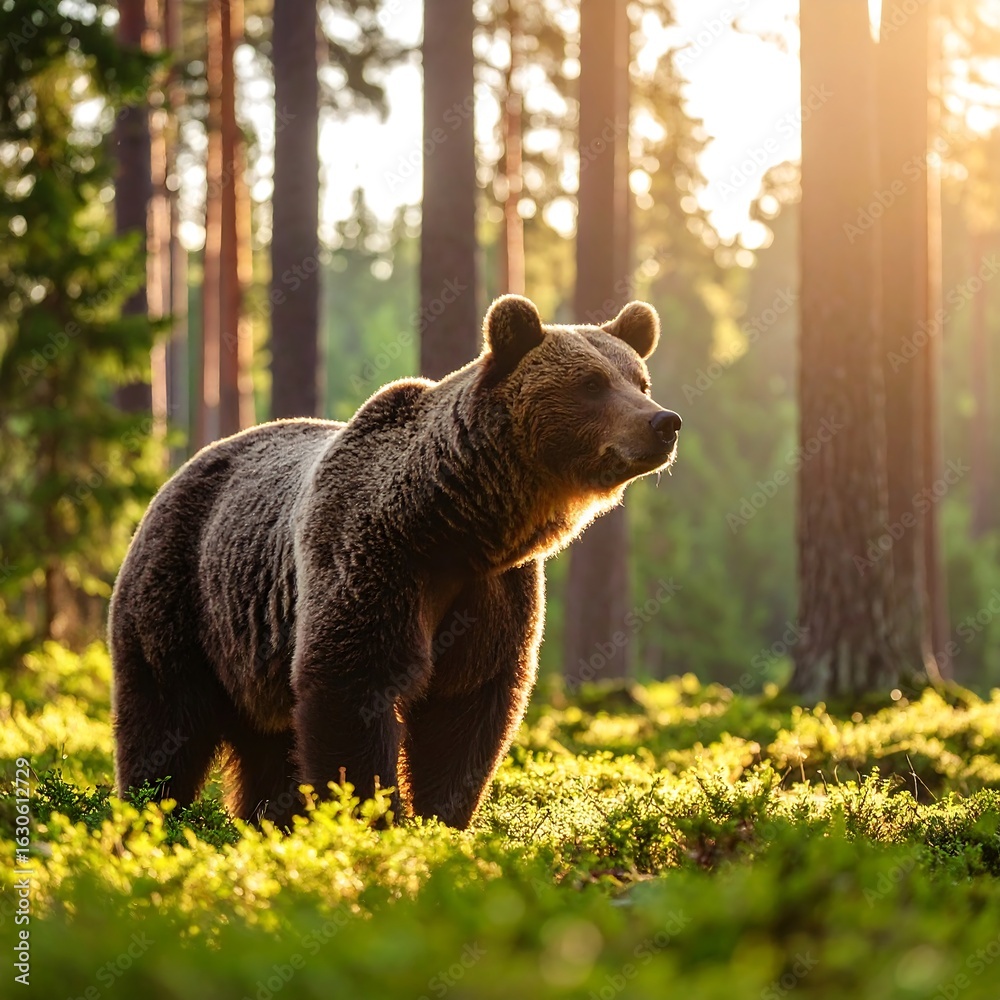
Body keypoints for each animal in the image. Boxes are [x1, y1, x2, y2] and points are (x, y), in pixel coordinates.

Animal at [109, 294, 682, 829]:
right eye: (591, 383)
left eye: (640, 381)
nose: (664, 422)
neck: (453, 525)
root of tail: (178, 475)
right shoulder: (371, 558)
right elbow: (352, 685)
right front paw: (374, 818)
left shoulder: (492, 589)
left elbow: (466, 707)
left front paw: (441, 820)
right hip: (182, 598)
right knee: (164, 722)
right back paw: (149, 810)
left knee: (269, 749)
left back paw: (266, 821)